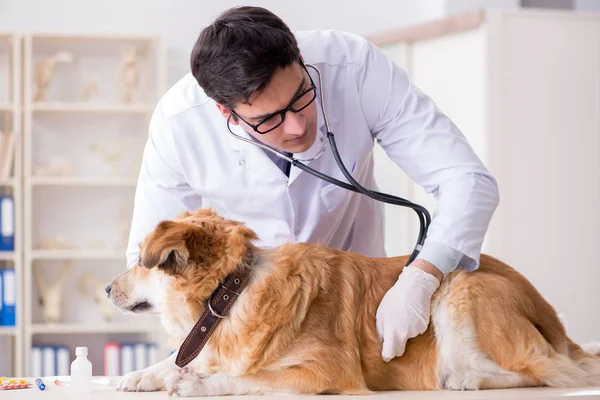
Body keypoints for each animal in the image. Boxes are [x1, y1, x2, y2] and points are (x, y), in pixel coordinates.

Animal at [108, 208, 600, 396]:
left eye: (140, 259)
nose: (107, 289)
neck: (233, 291)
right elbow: (184, 358)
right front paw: (144, 373)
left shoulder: (328, 371)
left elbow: (252, 376)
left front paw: (198, 384)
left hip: (460, 289)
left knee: (541, 371)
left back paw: (464, 379)